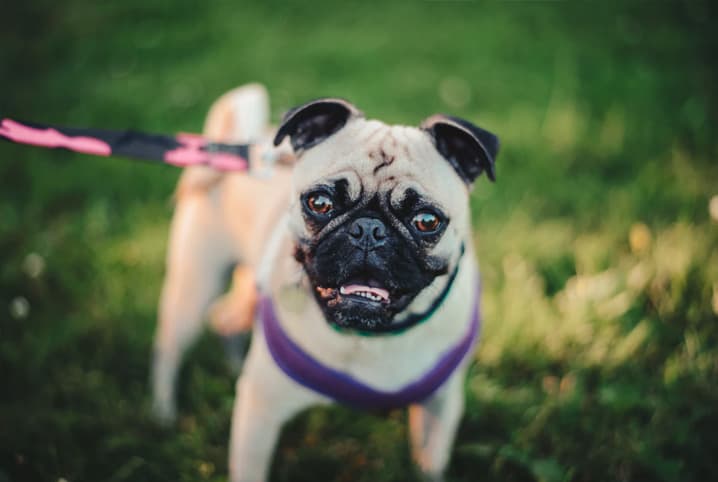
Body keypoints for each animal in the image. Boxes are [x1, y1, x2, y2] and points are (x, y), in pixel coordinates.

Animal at [152, 84, 500, 482]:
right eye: (319, 202)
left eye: (427, 221)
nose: (369, 229)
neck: (370, 336)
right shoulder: (260, 412)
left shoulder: (439, 409)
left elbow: (429, 467)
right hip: (195, 286)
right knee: (169, 348)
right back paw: (163, 415)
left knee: (224, 319)